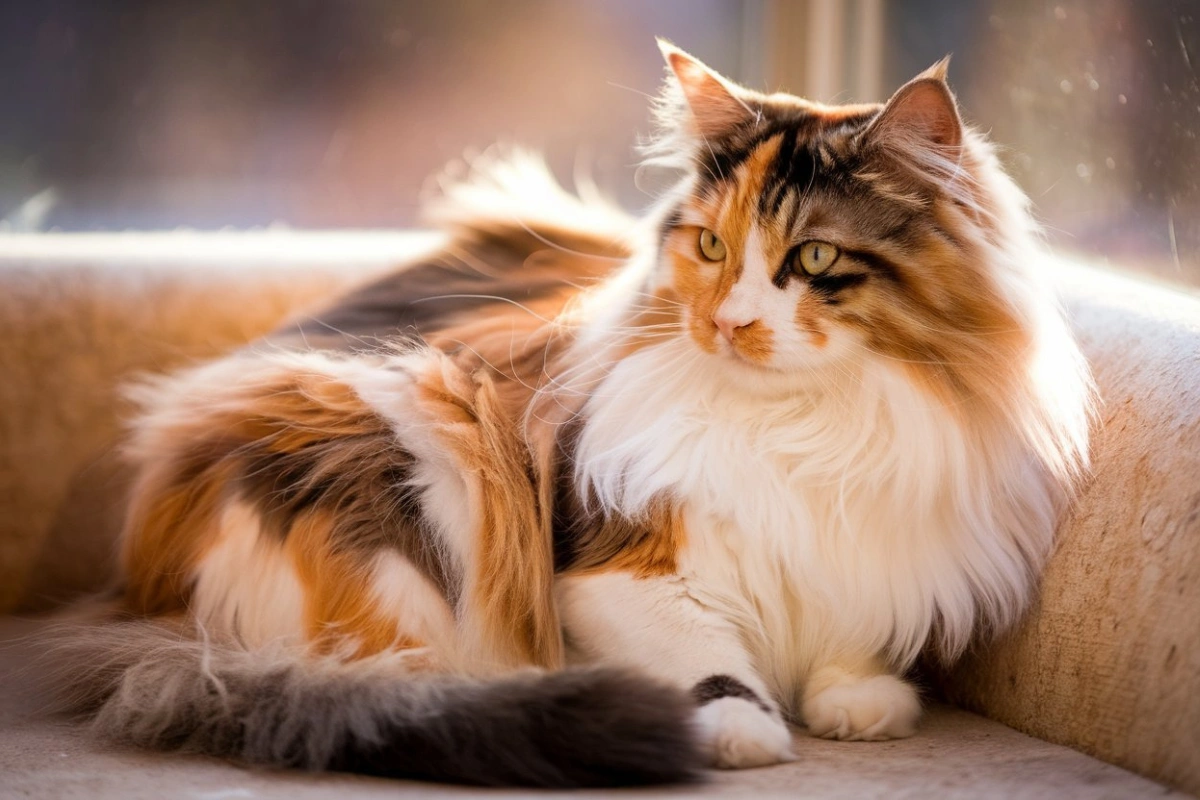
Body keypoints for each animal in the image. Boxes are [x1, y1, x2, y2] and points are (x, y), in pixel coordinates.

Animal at [44, 40, 1099, 786]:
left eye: (814, 260)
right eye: (712, 248)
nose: (726, 322)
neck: (804, 427)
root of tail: (143, 604)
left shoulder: (873, 549)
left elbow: (850, 629)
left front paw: (860, 700)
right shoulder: (614, 571)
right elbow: (710, 655)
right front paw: (741, 729)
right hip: (427, 452)